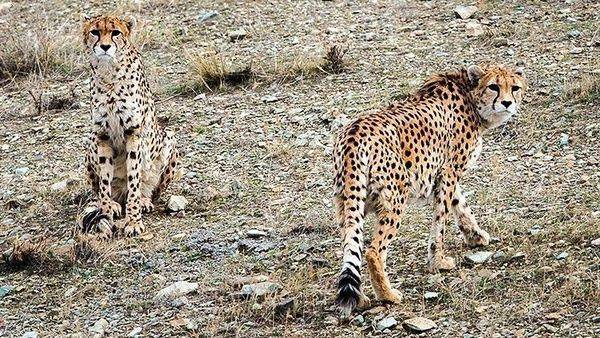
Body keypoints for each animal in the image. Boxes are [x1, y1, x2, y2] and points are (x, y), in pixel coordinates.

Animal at [77, 15, 177, 238]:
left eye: (116, 32)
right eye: (95, 32)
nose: (105, 47)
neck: (109, 75)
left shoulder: (134, 133)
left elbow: (134, 178)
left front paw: (133, 221)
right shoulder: (101, 134)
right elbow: (104, 181)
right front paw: (106, 216)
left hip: (169, 137)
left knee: (148, 189)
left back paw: (144, 200)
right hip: (90, 141)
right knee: (101, 190)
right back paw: (113, 204)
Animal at [336, 64, 528, 318]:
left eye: (514, 87)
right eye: (494, 86)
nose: (507, 103)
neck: (470, 95)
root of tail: (354, 133)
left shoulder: (444, 173)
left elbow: (460, 204)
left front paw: (476, 236)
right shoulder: (448, 171)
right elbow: (442, 219)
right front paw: (438, 261)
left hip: (348, 203)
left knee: (351, 245)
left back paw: (361, 298)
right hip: (395, 197)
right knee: (373, 250)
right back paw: (387, 295)